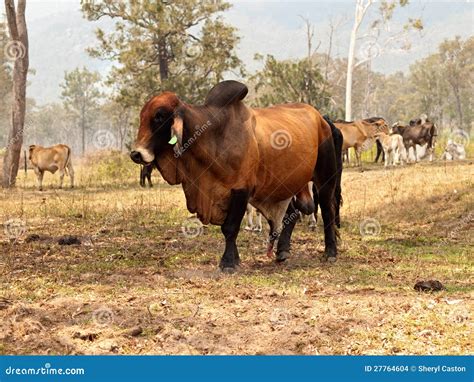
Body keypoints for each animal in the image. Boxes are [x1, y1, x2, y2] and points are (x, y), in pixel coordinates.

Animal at [131, 80, 338, 272]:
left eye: (159, 116)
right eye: (142, 116)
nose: (136, 154)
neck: (212, 137)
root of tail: (322, 118)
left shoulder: (240, 190)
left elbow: (230, 227)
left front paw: (229, 262)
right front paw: (235, 259)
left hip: (325, 179)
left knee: (327, 210)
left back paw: (330, 253)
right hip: (282, 185)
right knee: (292, 214)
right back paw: (282, 251)